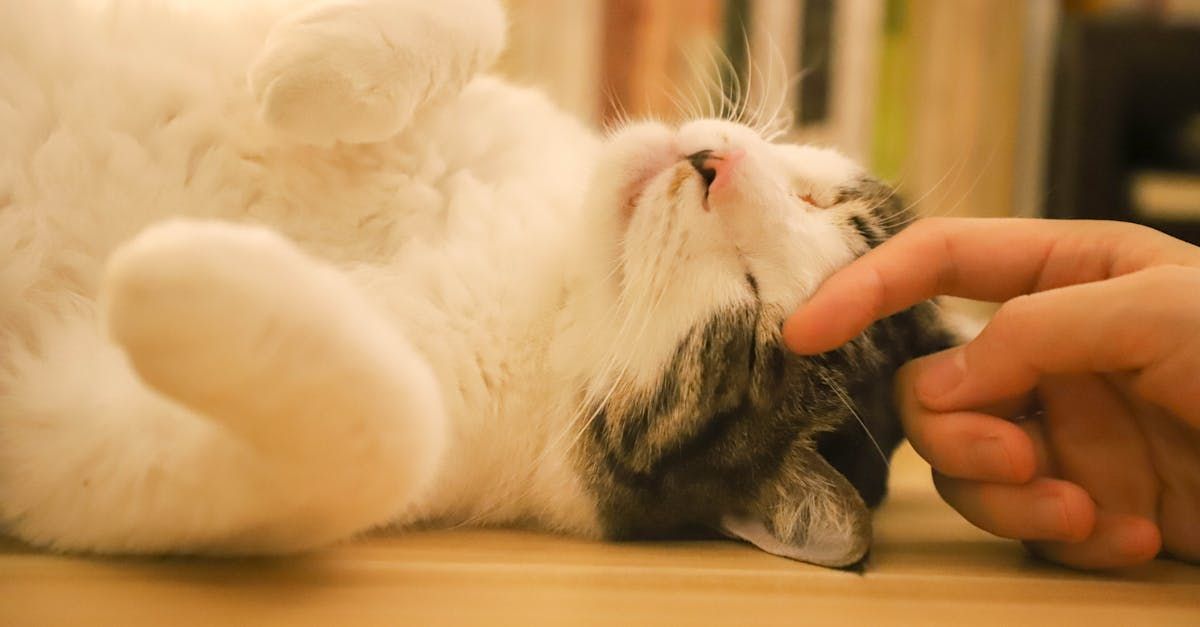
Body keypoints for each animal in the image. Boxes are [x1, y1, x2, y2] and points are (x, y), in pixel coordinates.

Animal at [0, 0, 955, 566]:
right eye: (822, 201)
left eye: (751, 327)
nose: (711, 166)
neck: (542, 258)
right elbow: (478, 20)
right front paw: (310, 68)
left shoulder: (79, 457)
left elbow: (389, 428)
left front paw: (169, 265)